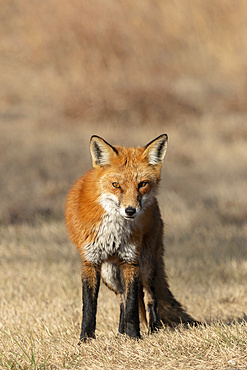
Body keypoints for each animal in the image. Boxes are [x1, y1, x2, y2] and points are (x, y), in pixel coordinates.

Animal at [65, 134, 197, 342]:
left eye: (142, 184)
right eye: (116, 185)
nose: (130, 211)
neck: (114, 229)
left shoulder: (130, 260)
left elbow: (133, 305)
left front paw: (134, 337)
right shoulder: (90, 262)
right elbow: (90, 306)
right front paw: (85, 339)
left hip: (146, 264)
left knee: (149, 297)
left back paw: (153, 330)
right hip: (110, 274)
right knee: (121, 298)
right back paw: (121, 333)